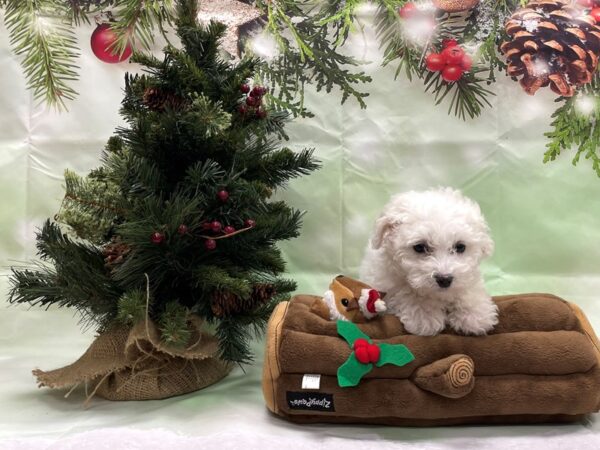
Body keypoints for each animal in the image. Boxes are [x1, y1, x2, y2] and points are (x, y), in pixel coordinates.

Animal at [360, 187, 496, 338]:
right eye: (419, 247)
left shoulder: (468, 275)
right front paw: (425, 315)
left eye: (460, 247)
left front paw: (475, 315)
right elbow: (406, 292)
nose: (444, 279)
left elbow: (469, 289)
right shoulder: (388, 283)